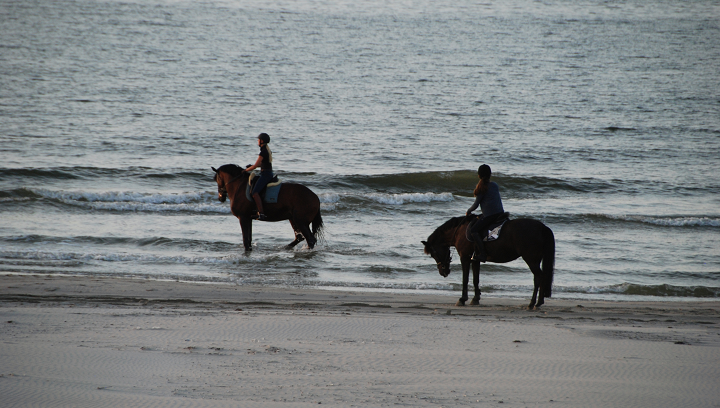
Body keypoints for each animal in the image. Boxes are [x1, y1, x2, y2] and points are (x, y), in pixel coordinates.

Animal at [422, 217, 556, 310]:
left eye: (433, 254)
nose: (443, 271)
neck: (460, 231)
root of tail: (542, 227)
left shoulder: (465, 258)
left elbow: (465, 279)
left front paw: (462, 299)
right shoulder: (475, 259)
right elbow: (476, 279)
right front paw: (475, 299)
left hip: (531, 259)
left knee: (538, 277)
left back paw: (533, 303)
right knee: (541, 277)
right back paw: (538, 302)